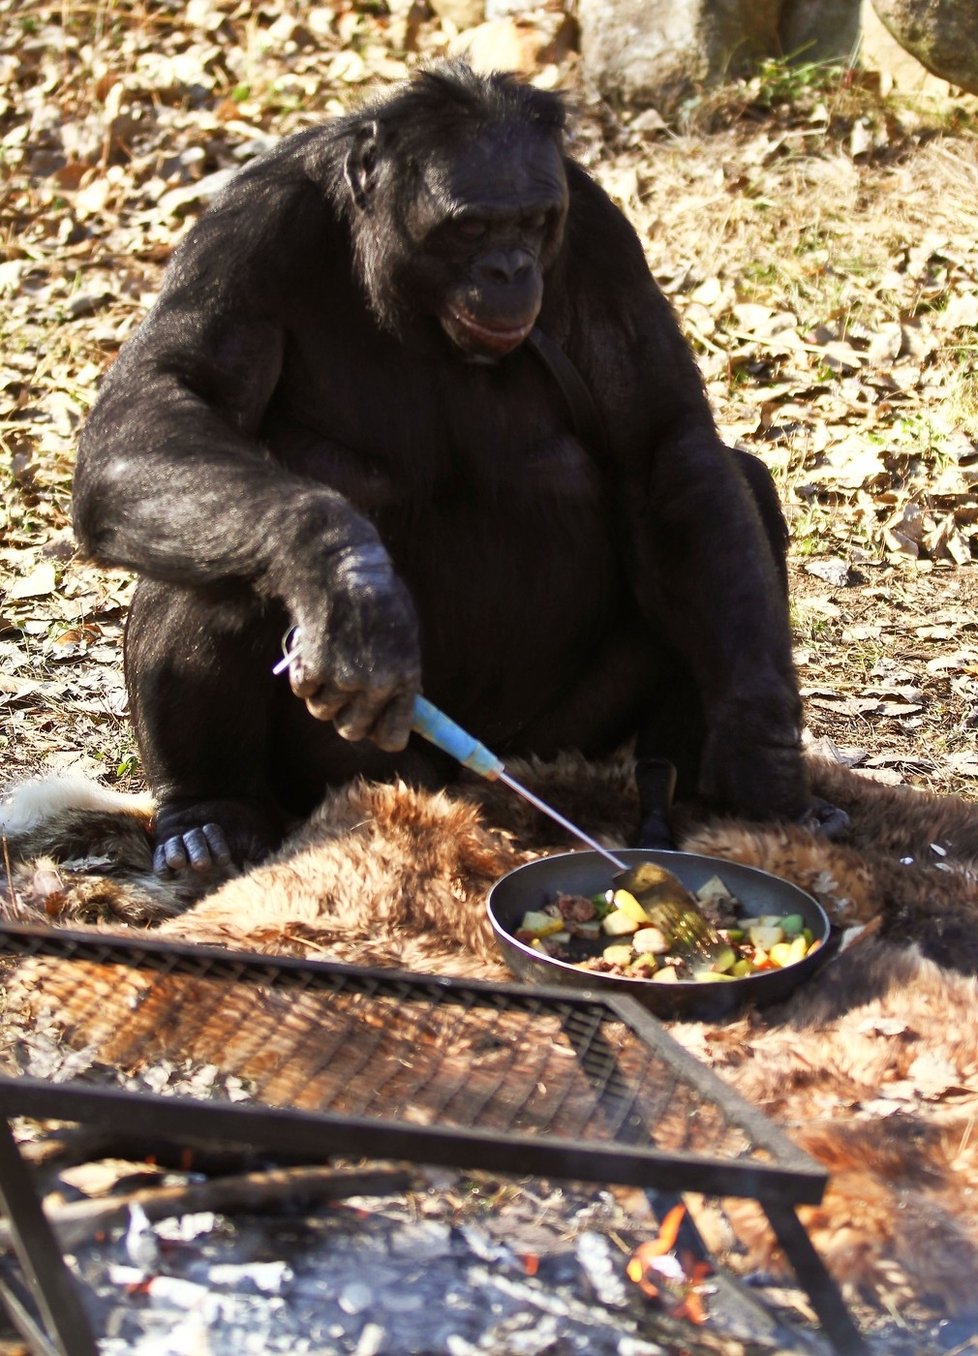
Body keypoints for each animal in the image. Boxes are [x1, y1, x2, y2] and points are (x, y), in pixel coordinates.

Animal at [74, 61, 824, 878]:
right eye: (470, 227)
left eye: (532, 221)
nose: (509, 267)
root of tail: (459, 775)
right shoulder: (247, 229)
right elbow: (161, 406)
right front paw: (343, 579)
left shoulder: (600, 234)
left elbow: (663, 450)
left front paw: (759, 750)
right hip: (344, 763)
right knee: (217, 551)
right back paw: (209, 813)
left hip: (554, 742)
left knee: (738, 488)